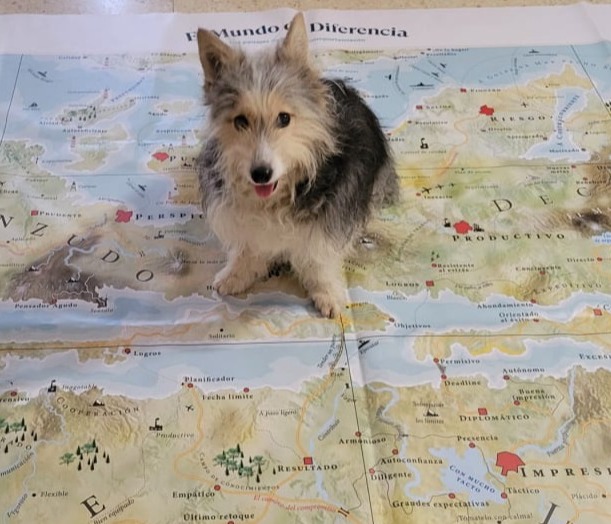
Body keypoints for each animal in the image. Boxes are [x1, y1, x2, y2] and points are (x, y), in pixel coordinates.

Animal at [196, 13, 398, 318]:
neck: (275, 199)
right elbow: (248, 246)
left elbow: (319, 258)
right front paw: (237, 273)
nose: (260, 174)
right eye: (240, 121)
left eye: (284, 118)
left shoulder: (330, 218)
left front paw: (327, 292)